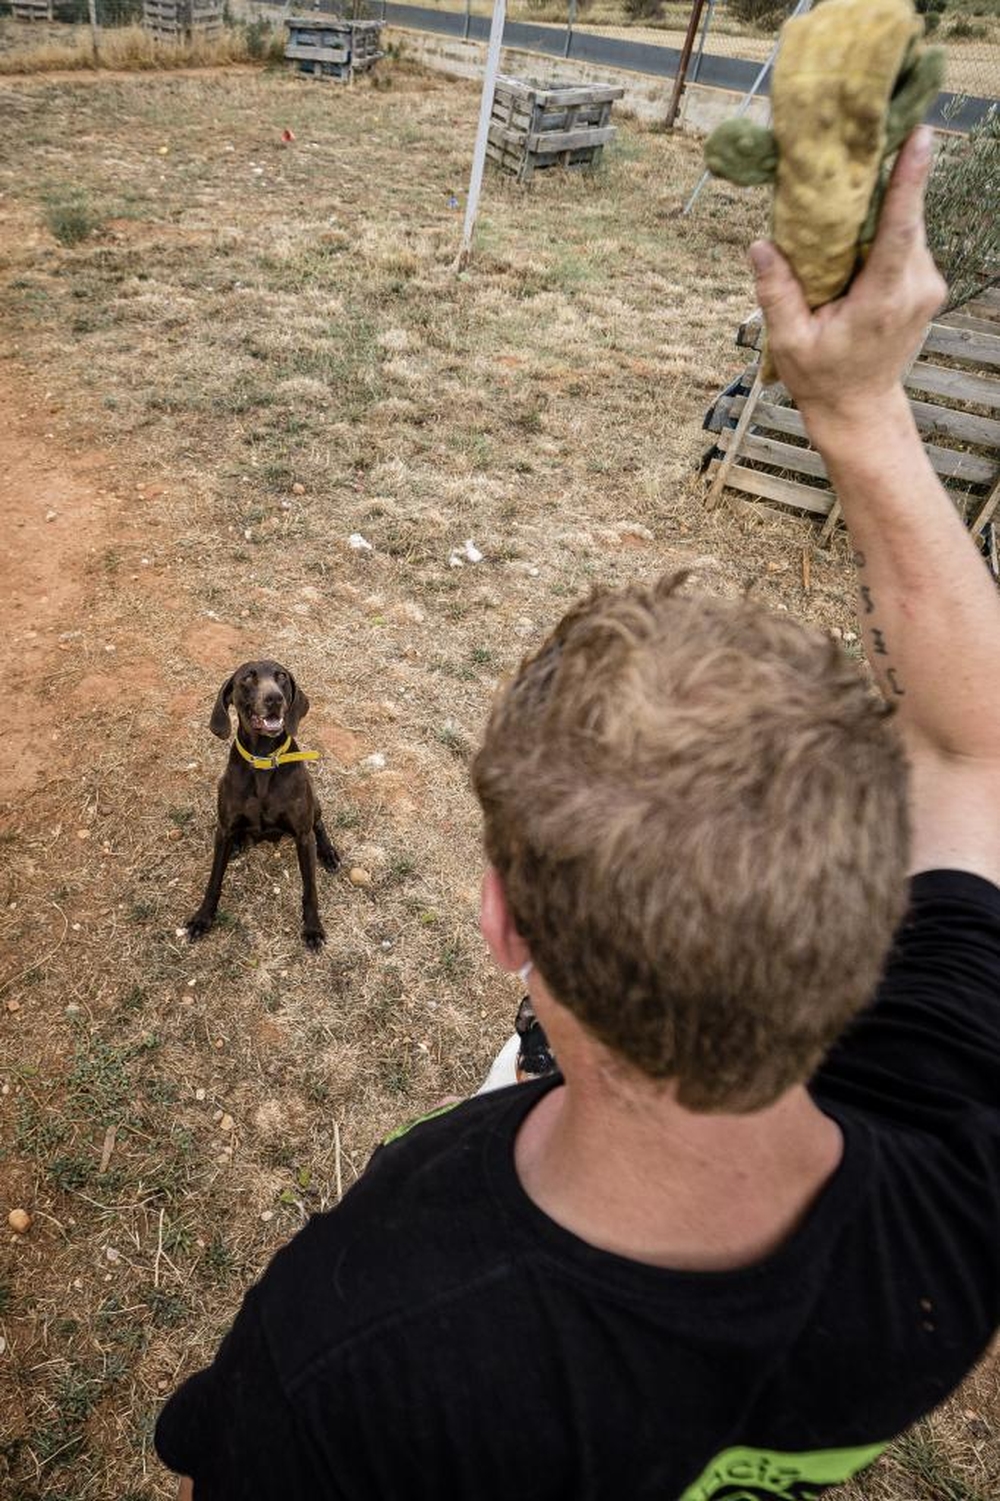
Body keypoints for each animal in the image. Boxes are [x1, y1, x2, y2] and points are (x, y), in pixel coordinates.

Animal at [186, 660, 339, 948]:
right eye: (247, 677)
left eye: (281, 676)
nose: (274, 698)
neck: (264, 759)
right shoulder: (224, 828)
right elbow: (214, 880)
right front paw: (202, 918)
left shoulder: (303, 835)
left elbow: (310, 888)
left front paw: (313, 928)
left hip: (314, 803)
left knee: (320, 824)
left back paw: (329, 853)